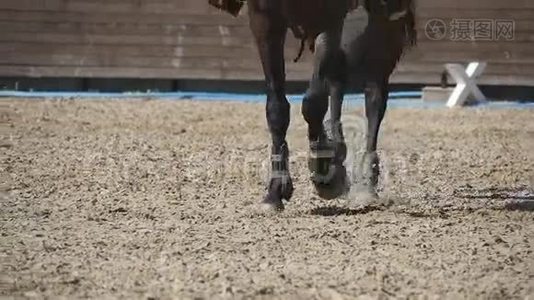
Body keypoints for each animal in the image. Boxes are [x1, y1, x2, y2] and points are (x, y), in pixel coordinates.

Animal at [210, 0, 418, 211]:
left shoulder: (330, 17)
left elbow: (313, 103)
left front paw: (324, 168)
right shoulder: (264, 16)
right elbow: (277, 108)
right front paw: (276, 190)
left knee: (374, 93)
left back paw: (367, 184)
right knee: (338, 79)